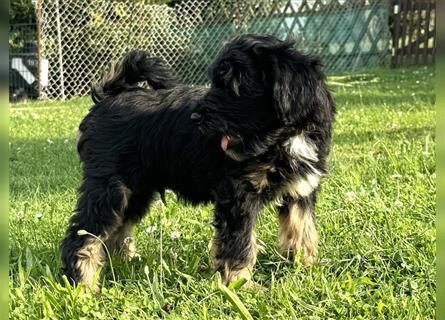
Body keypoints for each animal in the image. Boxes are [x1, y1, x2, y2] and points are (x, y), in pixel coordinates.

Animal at [60, 33, 334, 292]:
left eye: (235, 88)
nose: (195, 117)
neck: (285, 137)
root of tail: (108, 96)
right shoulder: (237, 194)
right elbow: (240, 242)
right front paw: (241, 284)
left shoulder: (301, 188)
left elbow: (302, 228)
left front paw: (306, 267)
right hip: (110, 187)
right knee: (83, 234)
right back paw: (84, 285)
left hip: (137, 189)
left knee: (118, 228)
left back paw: (126, 262)